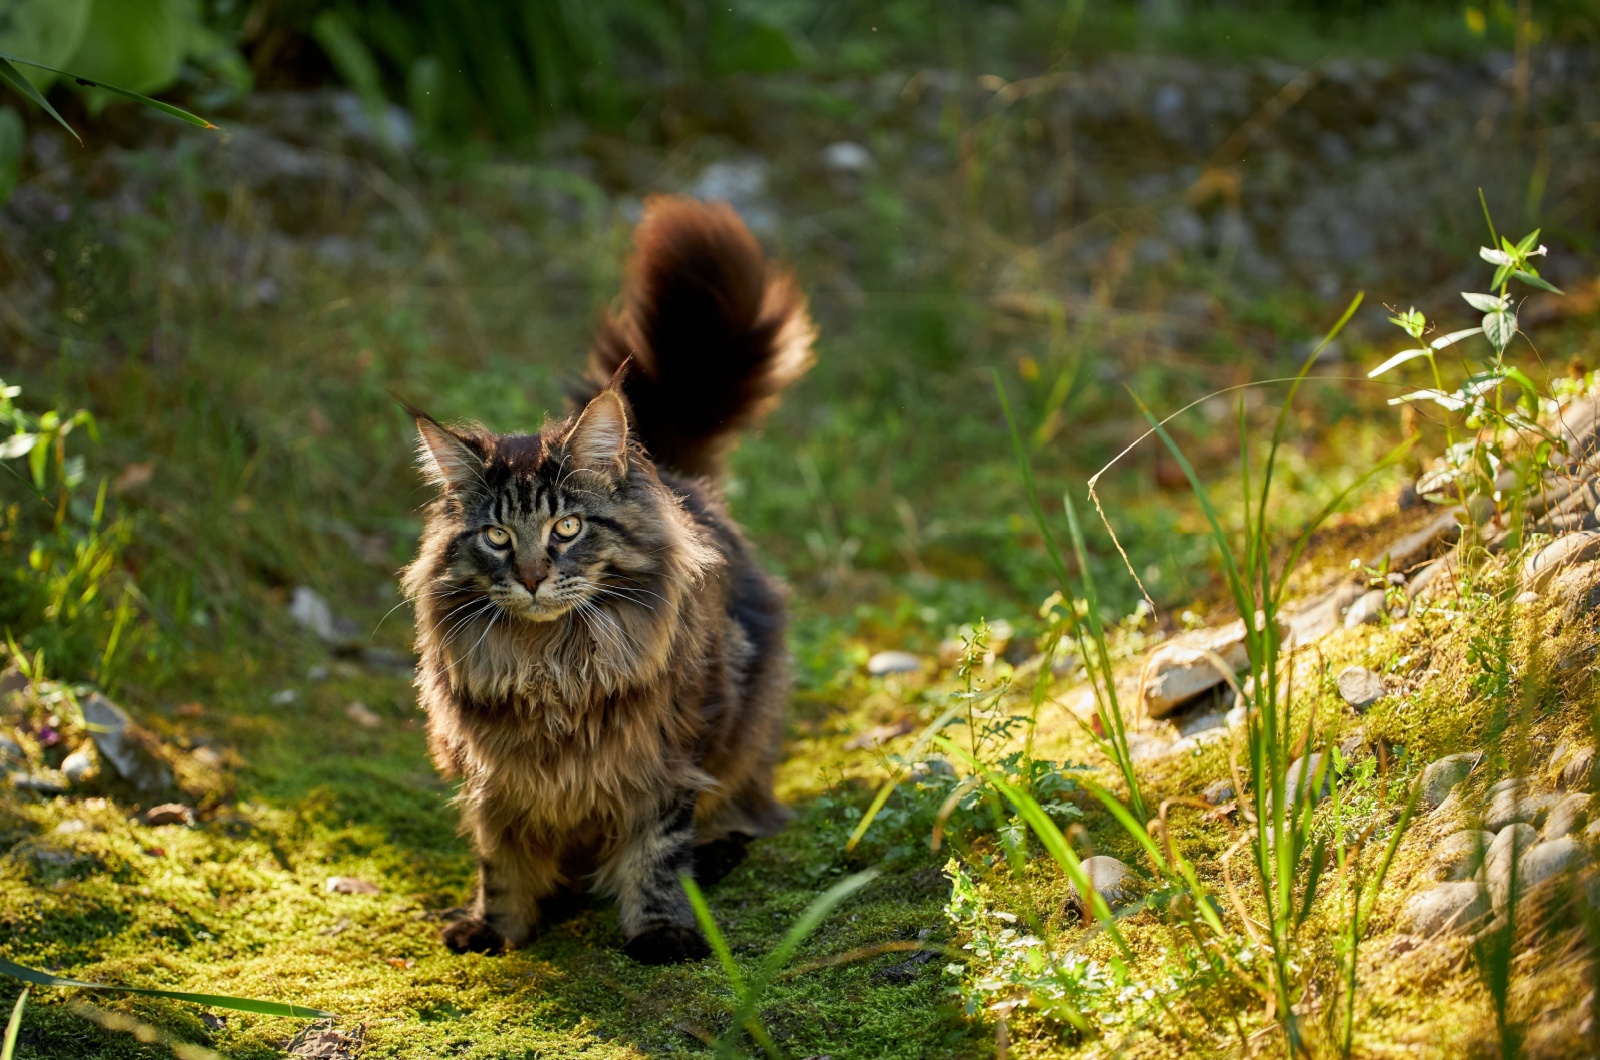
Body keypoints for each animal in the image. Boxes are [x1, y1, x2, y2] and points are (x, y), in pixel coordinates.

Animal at [400, 195, 812, 967]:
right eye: (497, 538)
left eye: (567, 528)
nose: (533, 577)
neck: (553, 668)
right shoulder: (491, 775)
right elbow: (499, 860)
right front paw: (498, 927)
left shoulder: (669, 756)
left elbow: (658, 852)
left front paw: (660, 931)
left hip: (752, 720)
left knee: (743, 809)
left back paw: (717, 855)